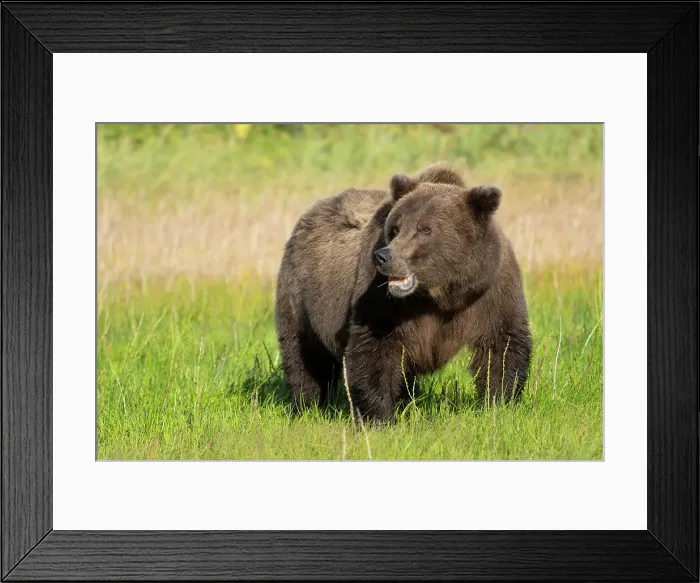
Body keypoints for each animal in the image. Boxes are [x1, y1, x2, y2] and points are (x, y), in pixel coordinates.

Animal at [274, 163, 532, 422]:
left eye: (425, 229)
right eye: (395, 228)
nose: (384, 257)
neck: (440, 295)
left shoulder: (491, 292)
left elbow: (502, 346)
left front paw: (499, 403)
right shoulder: (383, 301)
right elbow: (374, 349)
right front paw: (378, 416)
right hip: (300, 295)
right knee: (304, 355)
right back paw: (305, 405)